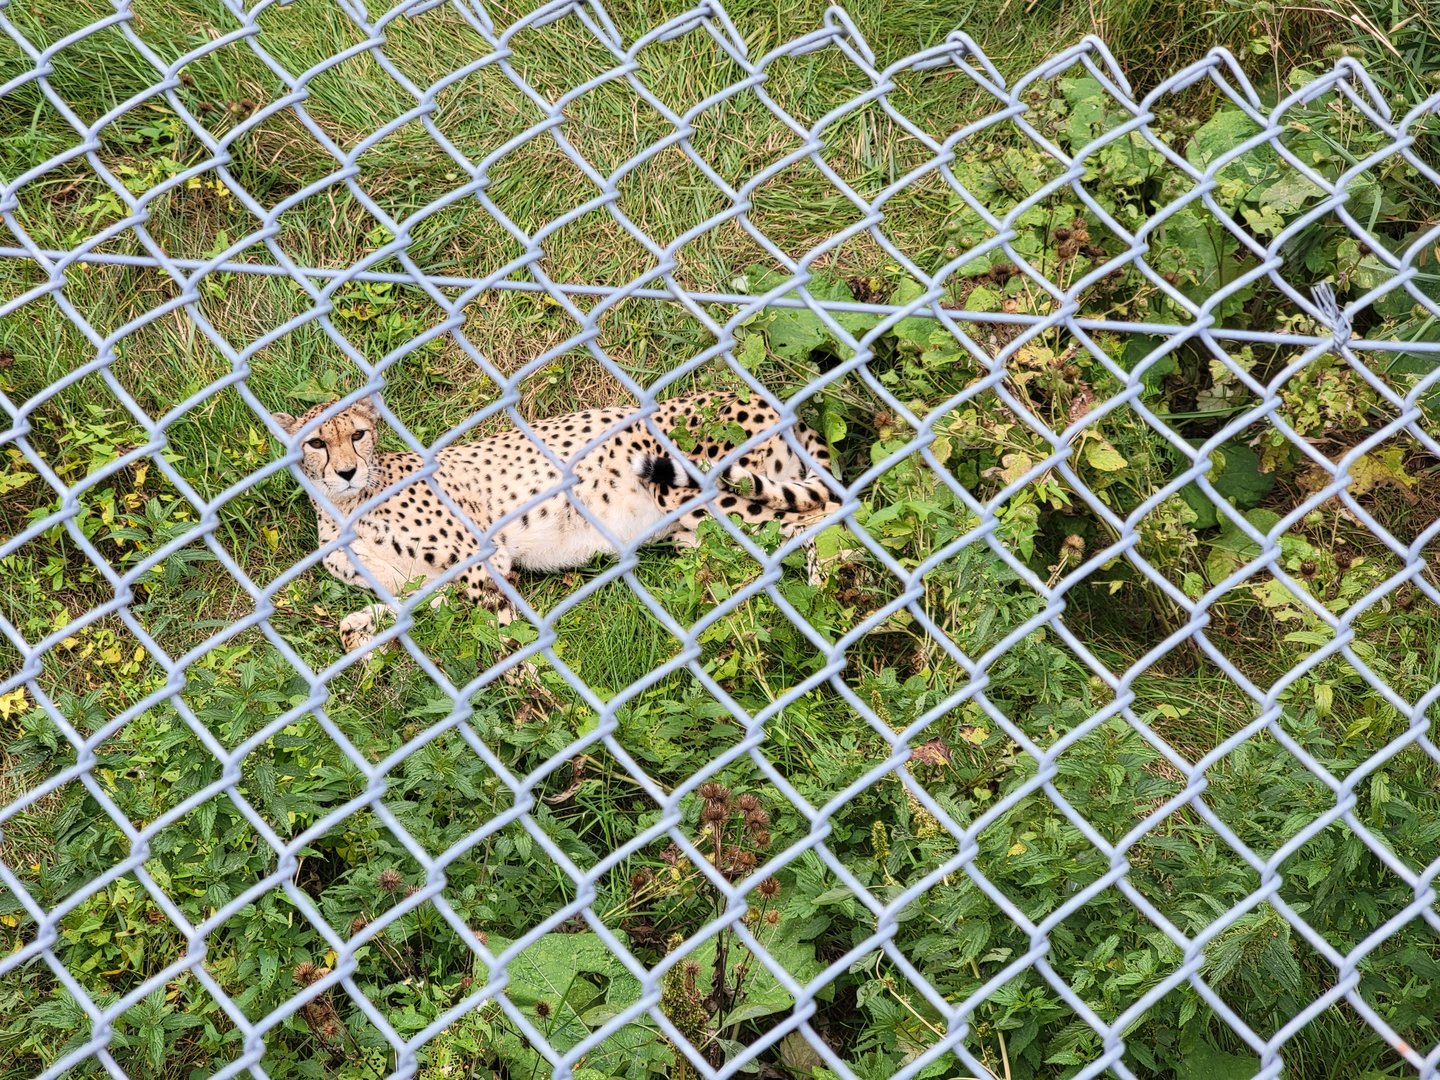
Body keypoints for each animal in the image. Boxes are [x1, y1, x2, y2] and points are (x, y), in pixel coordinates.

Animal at [272, 390, 843, 654]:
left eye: (358, 434)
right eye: (316, 442)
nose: (346, 471)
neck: (345, 508)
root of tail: (755, 395)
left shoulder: (484, 560)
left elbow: (493, 634)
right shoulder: (430, 580)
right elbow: (408, 610)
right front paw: (359, 634)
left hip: (694, 487)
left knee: (822, 513)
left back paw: (831, 587)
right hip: (696, 532)